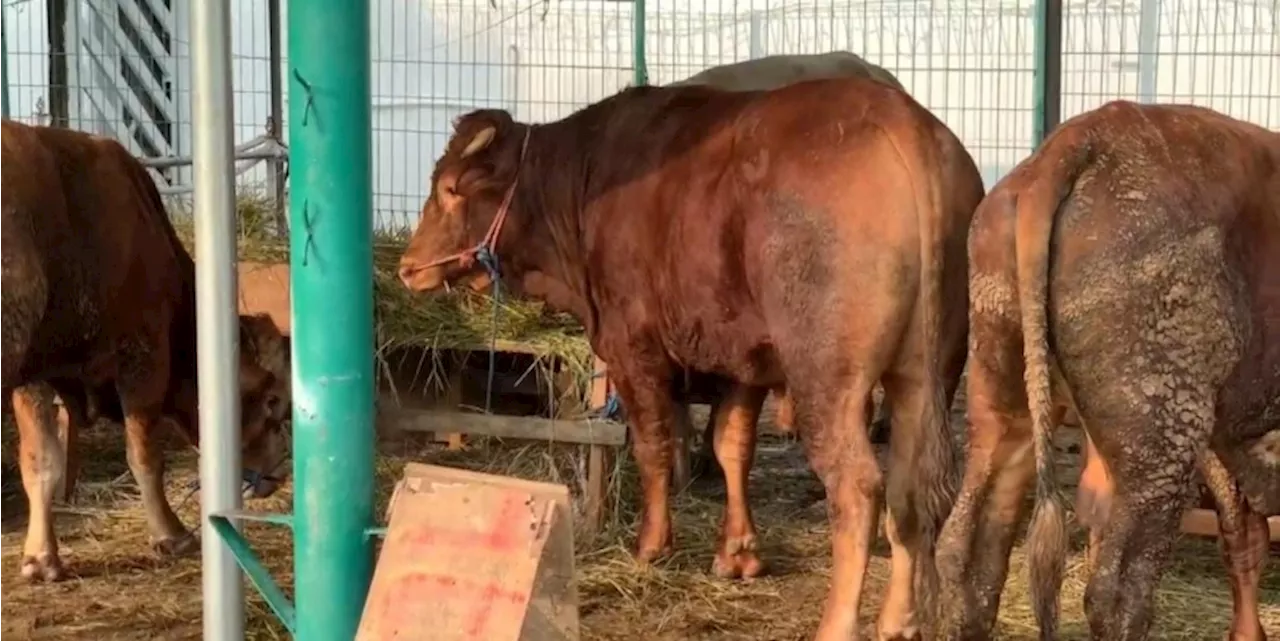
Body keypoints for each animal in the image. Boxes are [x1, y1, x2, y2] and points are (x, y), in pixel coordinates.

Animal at [1, 122, 294, 583]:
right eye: (273, 400)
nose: (278, 471)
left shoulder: (34, 374)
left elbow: (41, 462)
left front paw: (41, 557)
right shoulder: (144, 356)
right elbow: (144, 455)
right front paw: (171, 534)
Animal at [396, 76, 977, 639]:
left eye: (450, 189)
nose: (407, 266)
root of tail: (898, 120)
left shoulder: (633, 345)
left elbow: (653, 445)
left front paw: (651, 546)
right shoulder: (744, 357)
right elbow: (731, 445)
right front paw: (738, 554)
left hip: (827, 379)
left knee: (857, 489)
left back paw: (836, 625)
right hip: (925, 374)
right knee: (909, 490)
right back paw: (899, 620)